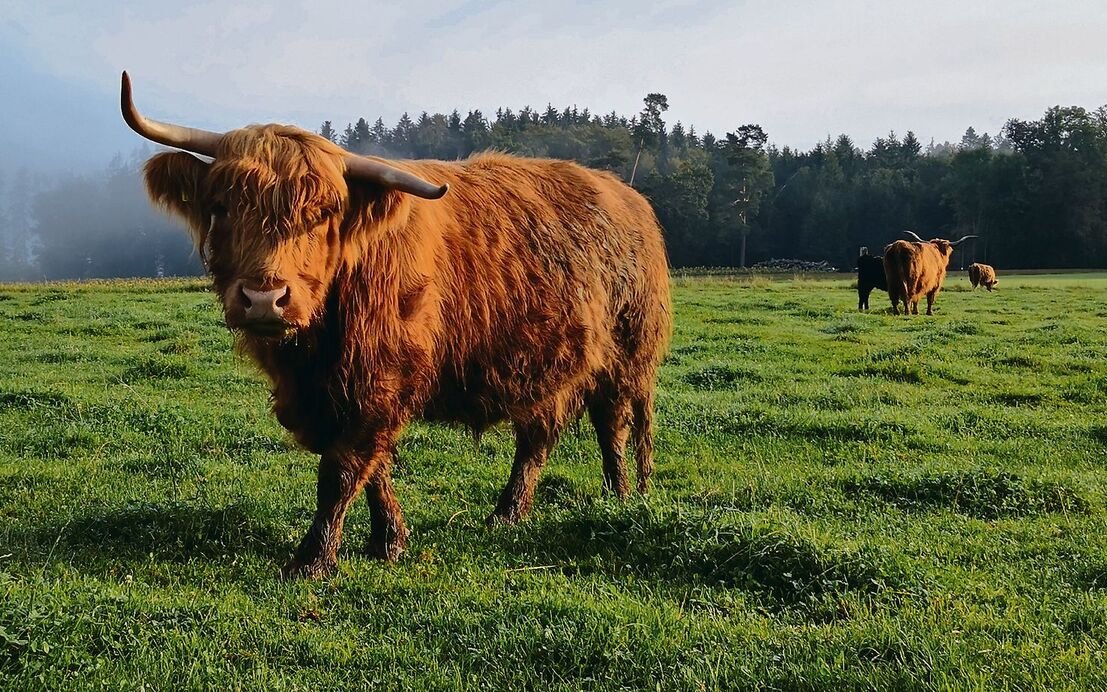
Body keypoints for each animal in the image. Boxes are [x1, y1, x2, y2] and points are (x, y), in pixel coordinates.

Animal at [123, 71, 673, 575]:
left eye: (322, 214)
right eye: (222, 207)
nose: (264, 299)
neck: (316, 350)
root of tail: (629, 196)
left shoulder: (383, 379)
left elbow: (342, 469)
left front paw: (313, 559)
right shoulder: (332, 391)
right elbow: (374, 467)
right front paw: (388, 541)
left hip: (627, 355)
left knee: (613, 425)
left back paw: (619, 496)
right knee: (538, 437)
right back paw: (509, 513)